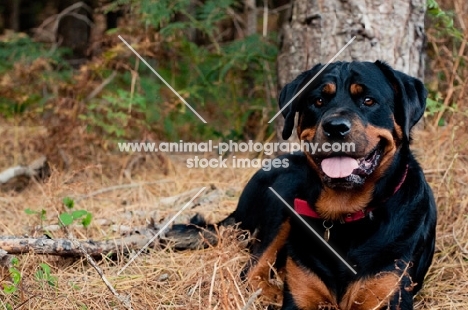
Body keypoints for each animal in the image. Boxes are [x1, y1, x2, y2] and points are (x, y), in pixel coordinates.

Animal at [170, 59, 436, 308]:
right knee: (250, 271)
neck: (345, 214)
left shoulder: (390, 294)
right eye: (317, 101)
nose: (335, 128)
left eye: (369, 100)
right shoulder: (300, 295)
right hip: (283, 195)